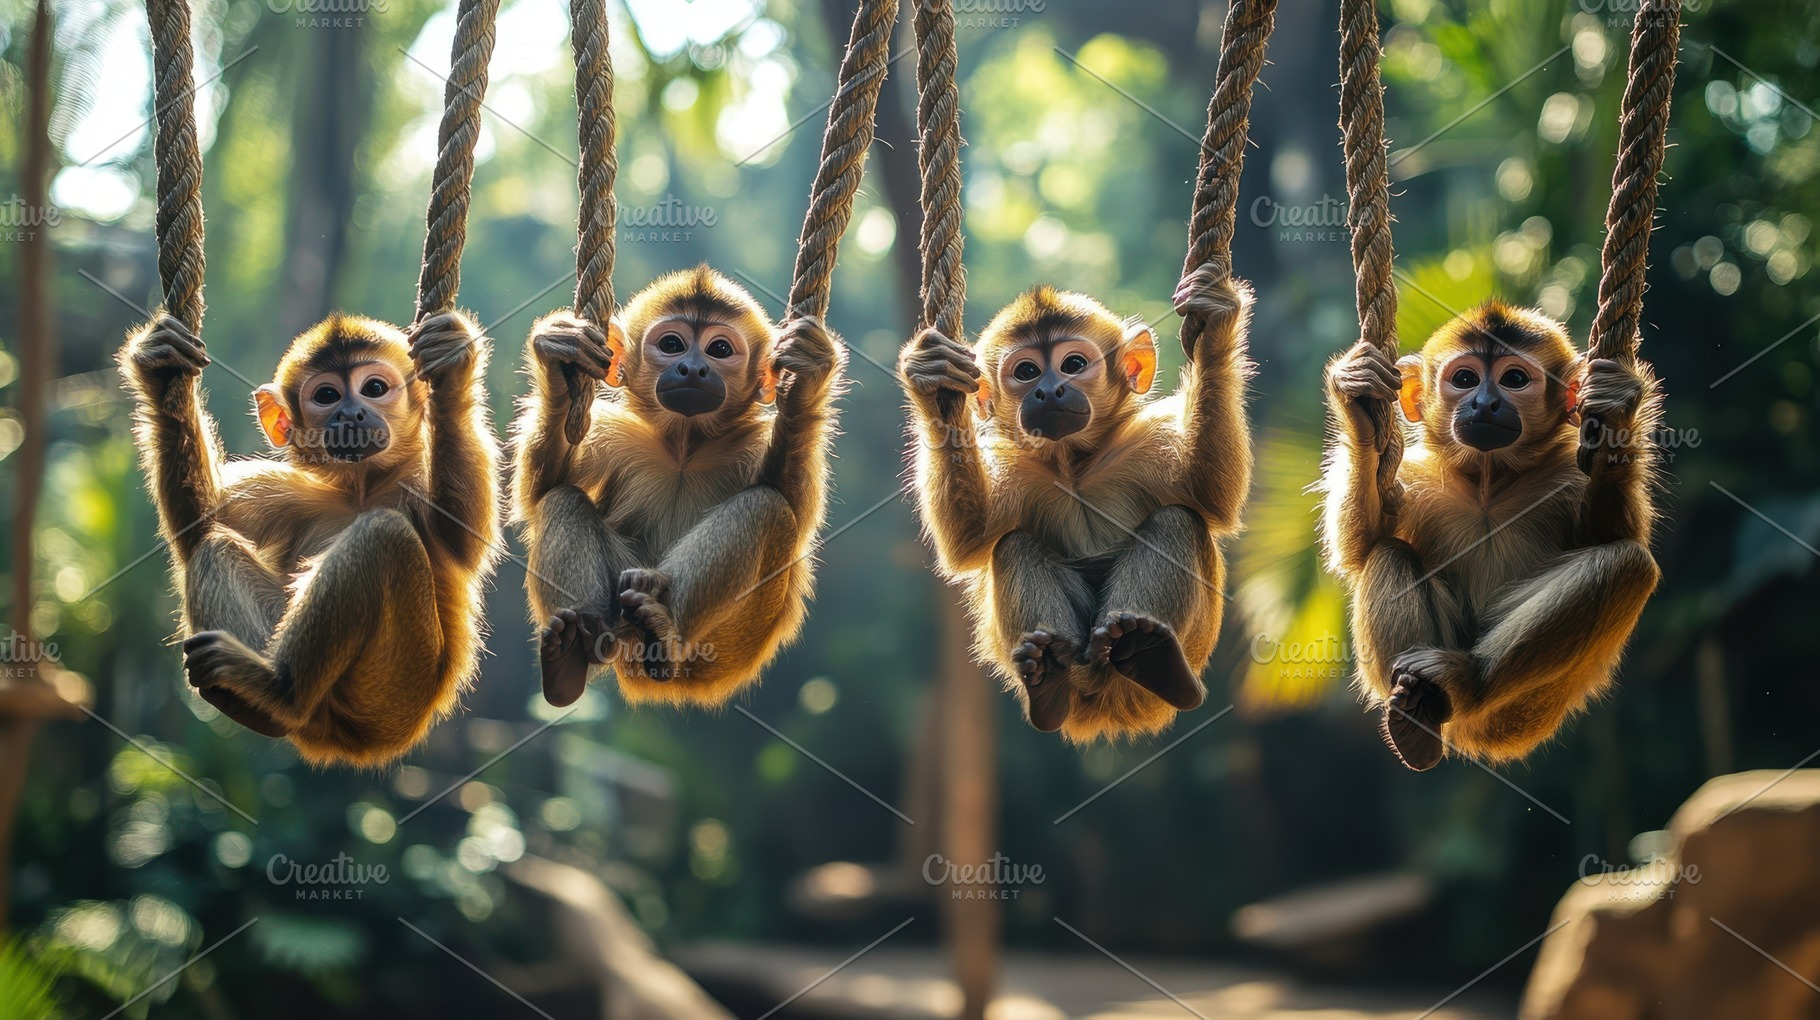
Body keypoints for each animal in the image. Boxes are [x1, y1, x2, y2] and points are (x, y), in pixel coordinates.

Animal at [117, 310, 501, 767]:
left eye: (374, 389)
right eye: (327, 395)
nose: (351, 414)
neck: (361, 488)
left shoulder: (415, 479)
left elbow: (462, 538)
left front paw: (452, 364)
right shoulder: (291, 491)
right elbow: (198, 525)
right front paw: (160, 370)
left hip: (392, 691)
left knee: (383, 532)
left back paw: (283, 693)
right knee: (215, 544)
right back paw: (258, 703)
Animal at [512, 265, 842, 708]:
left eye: (719, 349)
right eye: (672, 345)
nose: (692, 368)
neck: (685, 447)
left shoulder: (750, 442)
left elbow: (795, 509)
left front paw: (806, 376)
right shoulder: (615, 434)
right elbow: (542, 490)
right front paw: (562, 363)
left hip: (731, 647)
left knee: (766, 507)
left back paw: (664, 630)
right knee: (561, 500)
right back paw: (573, 655)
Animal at [897, 267, 1252, 742]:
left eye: (1074, 365)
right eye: (1027, 372)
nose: (1049, 390)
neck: (1074, 468)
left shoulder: (1146, 439)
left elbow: (1210, 498)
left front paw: (1212, 326)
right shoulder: (1015, 466)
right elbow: (968, 542)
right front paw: (932, 381)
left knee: (1176, 520)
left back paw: (1151, 655)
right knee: (1014, 546)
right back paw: (1051, 677)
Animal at [1319, 302, 1661, 770]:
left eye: (1514, 379)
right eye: (1464, 379)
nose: (1485, 402)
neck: (1488, 481)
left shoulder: (1567, 476)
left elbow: (1615, 535)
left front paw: (1617, 406)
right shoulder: (1420, 475)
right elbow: (1360, 547)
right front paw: (1358, 401)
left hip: (1533, 706)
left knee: (1628, 562)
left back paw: (1467, 682)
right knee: (1389, 551)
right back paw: (1419, 712)